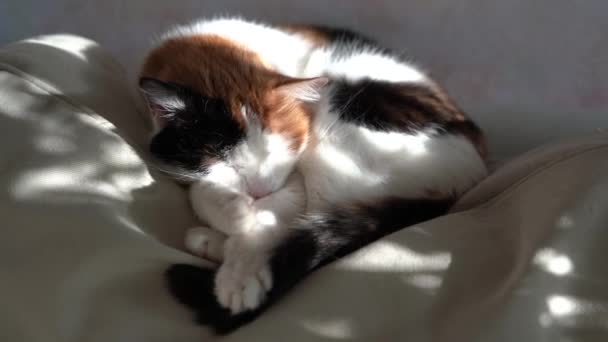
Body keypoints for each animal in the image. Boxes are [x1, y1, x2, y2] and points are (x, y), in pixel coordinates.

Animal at [139, 16, 490, 334]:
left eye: (276, 152)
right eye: (224, 160)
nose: (260, 192)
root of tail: (473, 174)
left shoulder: (296, 176)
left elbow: (273, 215)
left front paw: (241, 269)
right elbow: (202, 189)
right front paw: (234, 213)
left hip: (340, 125)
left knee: (314, 220)